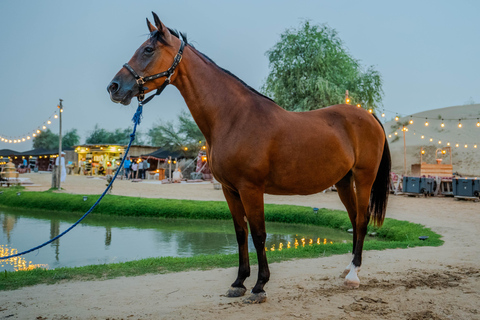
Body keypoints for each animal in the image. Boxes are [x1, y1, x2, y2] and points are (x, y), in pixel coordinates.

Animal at [109, 11, 390, 302]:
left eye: (148, 50)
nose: (114, 87)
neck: (233, 117)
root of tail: (369, 116)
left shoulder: (250, 189)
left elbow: (259, 234)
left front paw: (259, 286)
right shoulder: (230, 190)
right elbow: (240, 233)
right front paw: (239, 282)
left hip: (363, 178)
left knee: (362, 219)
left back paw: (354, 275)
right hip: (344, 181)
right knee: (354, 218)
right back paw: (348, 268)